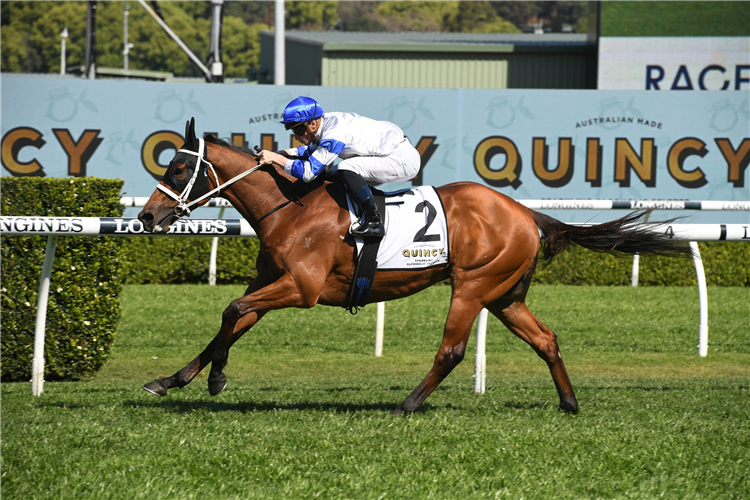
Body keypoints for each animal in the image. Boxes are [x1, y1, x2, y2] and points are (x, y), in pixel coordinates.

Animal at [138, 118, 692, 414]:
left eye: (179, 167)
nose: (146, 216)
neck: (291, 207)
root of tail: (524, 213)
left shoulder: (302, 288)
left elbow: (231, 310)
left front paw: (211, 380)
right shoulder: (272, 280)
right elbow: (230, 322)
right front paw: (175, 379)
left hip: (473, 285)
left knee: (452, 350)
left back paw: (407, 404)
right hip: (506, 295)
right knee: (546, 340)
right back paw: (569, 403)